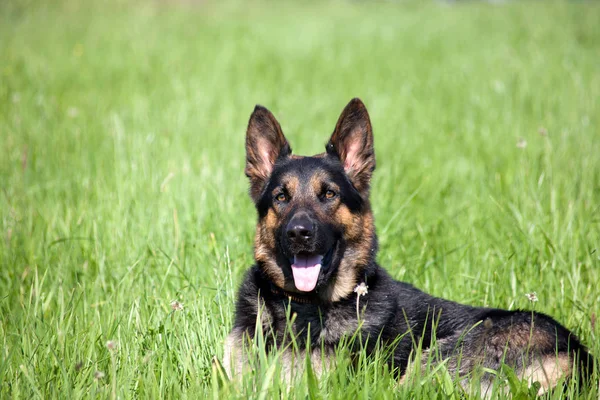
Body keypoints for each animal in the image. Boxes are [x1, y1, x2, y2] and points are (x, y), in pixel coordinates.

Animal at [223, 98, 592, 396]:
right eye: (281, 197)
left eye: (328, 194)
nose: (299, 233)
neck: (301, 308)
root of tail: (578, 357)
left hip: (430, 364)